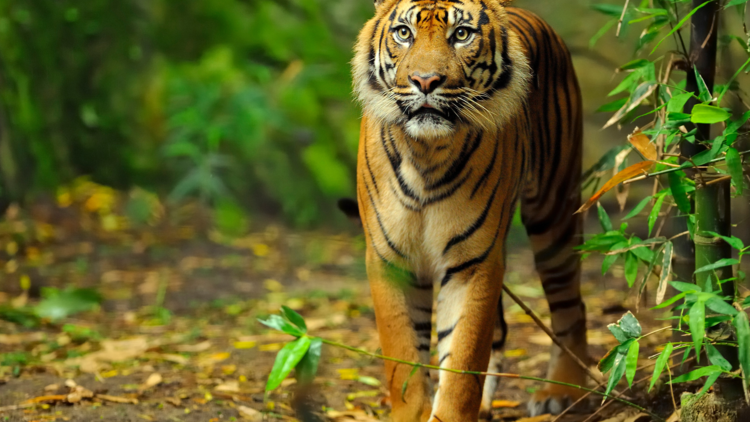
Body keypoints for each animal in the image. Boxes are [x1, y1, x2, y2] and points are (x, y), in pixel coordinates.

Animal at [352, 0, 592, 420]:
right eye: (404, 33)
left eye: (461, 35)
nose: (425, 81)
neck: (426, 153)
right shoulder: (389, 258)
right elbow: (404, 358)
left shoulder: (473, 262)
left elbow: (463, 360)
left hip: (554, 211)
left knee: (570, 305)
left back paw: (562, 391)